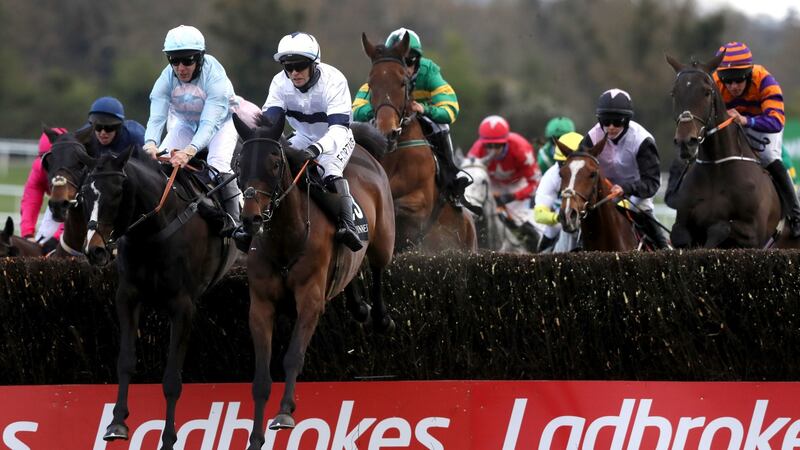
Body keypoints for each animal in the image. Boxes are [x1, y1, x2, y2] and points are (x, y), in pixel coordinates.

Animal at [230, 114, 396, 448]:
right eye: (239, 163)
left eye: (275, 163)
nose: (251, 219)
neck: (285, 238)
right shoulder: (261, 305)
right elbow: (261, 374)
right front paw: (255, 436)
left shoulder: (309, 298)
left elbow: (293, 356)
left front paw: (284, 412)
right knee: (351, 272)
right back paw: (359, 307)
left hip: (384, 238)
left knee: (377, 268)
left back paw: (381, 317)